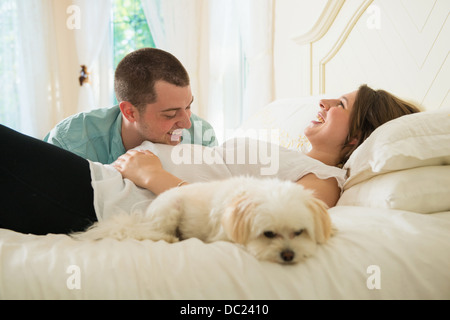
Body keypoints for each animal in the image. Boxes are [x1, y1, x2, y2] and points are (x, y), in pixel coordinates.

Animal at [74, 176, 334, 264]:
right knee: (150, 232)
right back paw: (169, 237)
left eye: (299, 232)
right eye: (268, 234)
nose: (288, 255)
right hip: (170, 210)